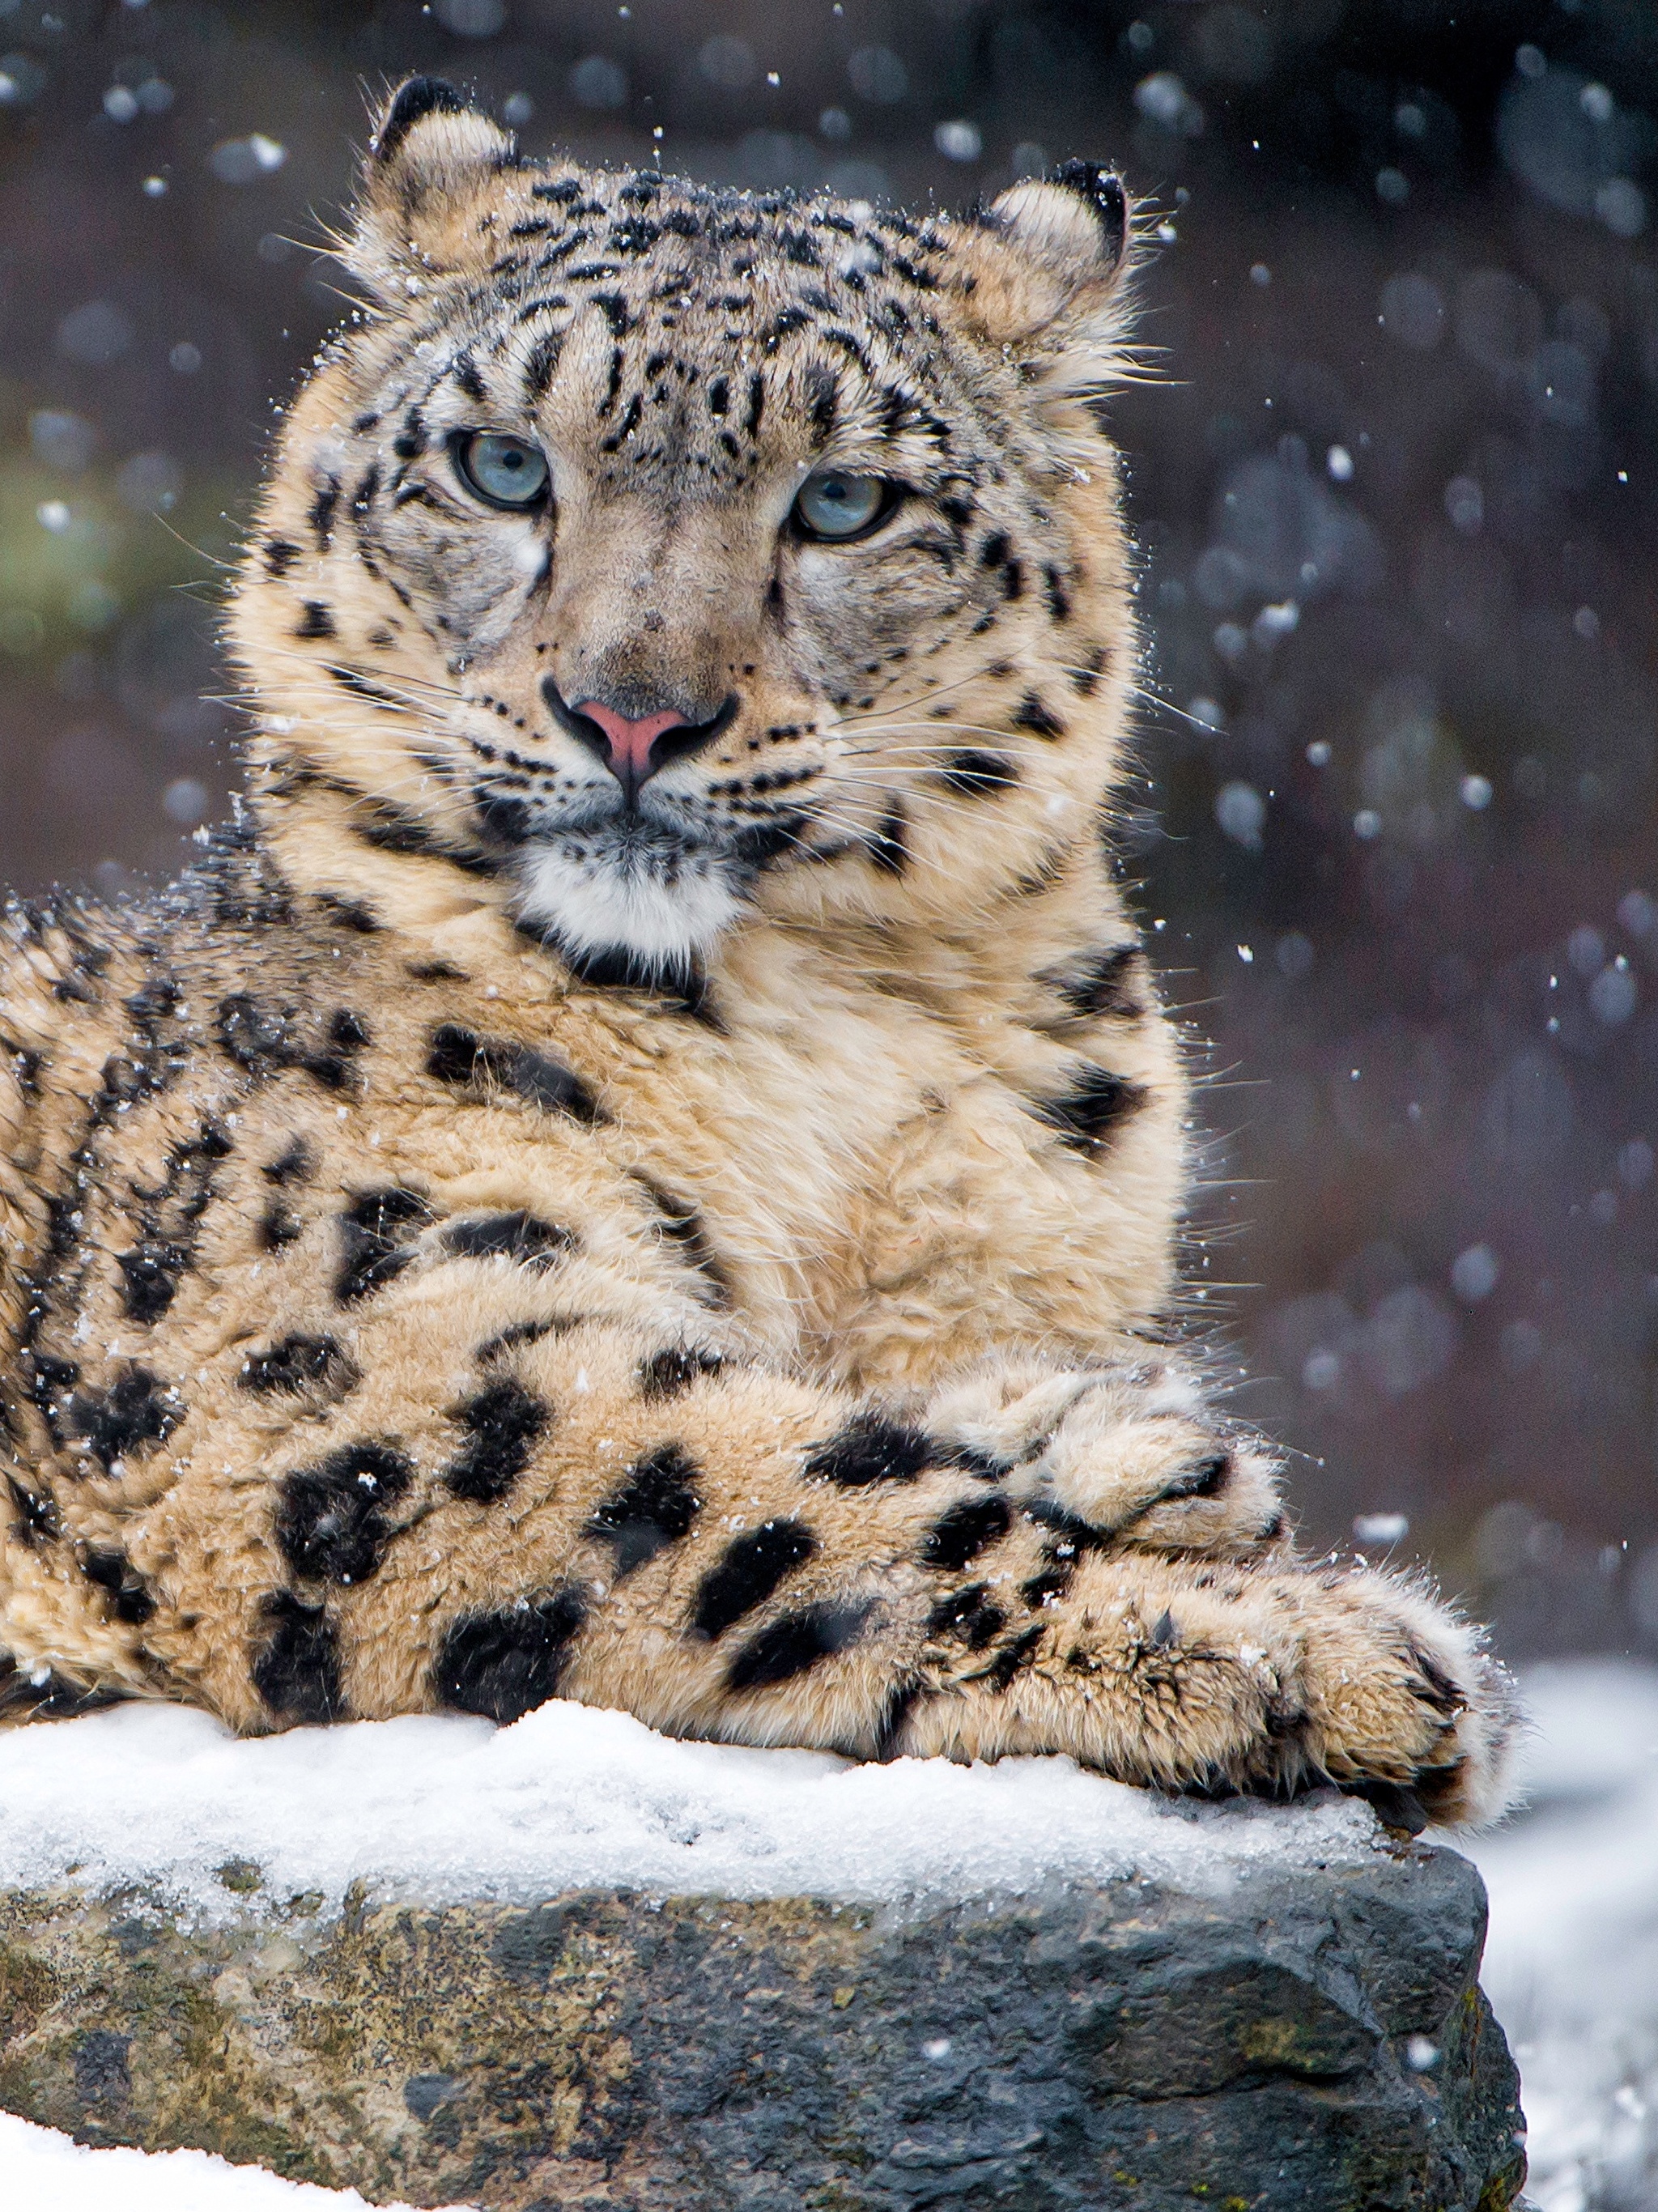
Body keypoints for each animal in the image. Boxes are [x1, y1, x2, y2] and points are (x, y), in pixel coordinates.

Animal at [0, 78, 1520, 1823]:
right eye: (502, 466)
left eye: (846, 501)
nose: (629, 712)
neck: (830, 1055)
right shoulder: (340, 1356)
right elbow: (766, 1488)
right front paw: (1306, 1648)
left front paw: (1126, 1439)